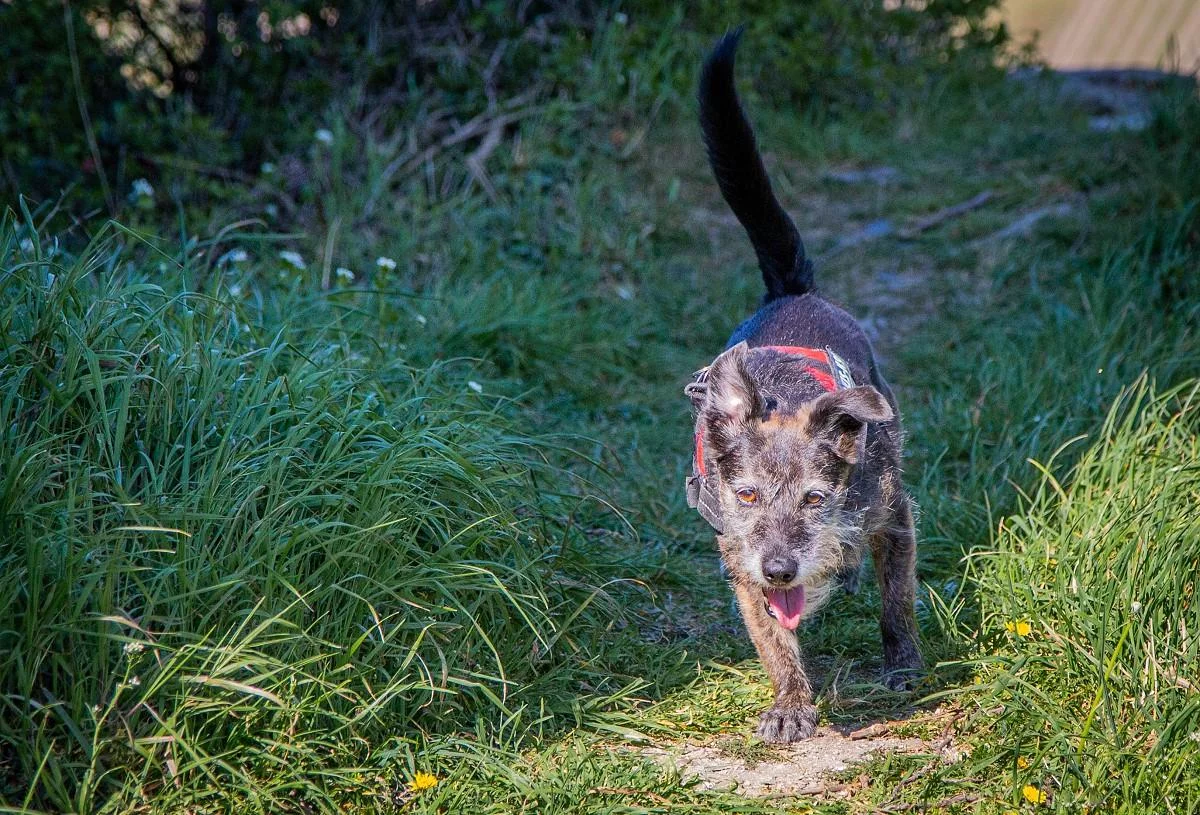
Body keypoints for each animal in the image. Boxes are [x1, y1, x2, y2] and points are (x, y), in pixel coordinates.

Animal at [681, 30, 921, 744]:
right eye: (747, 495)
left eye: (816, 499)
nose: (782, 568)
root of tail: (792, 289)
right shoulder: (739, 556)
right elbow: (772, 638)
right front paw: (791, 701)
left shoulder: (895, 516)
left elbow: (897, 599)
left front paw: (903, 663)